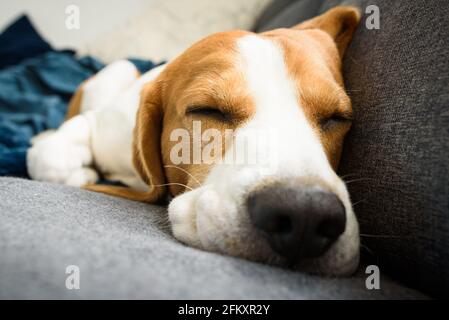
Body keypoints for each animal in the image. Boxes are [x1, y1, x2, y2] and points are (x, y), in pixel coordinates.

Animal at [27, 6, 360, 278]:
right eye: (207, 110)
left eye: (336, 117)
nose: (305, 214)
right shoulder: (102, 124)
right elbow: (50, 157)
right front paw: (76, 167)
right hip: (118, 68)